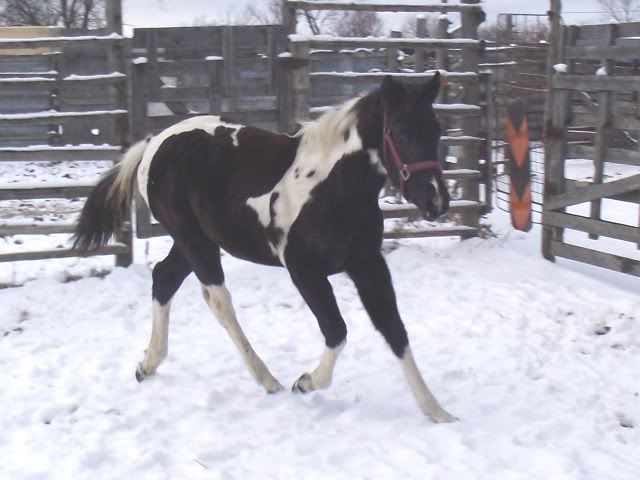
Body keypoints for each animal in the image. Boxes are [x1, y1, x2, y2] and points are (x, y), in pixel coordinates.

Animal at [72, 72, 458, 424]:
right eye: (402, 132)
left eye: (436, 131)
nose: (436, 200)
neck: (333, 188)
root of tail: (154, 143)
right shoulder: (304, 270)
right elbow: (337, 331)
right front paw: (305, 382)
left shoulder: (368, 265)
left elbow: (395, 330)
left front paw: (437, 411)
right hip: (193, 241)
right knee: (219, 302)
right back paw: (267, 379)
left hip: (195, 241)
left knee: (164, 280)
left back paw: (148, 364)